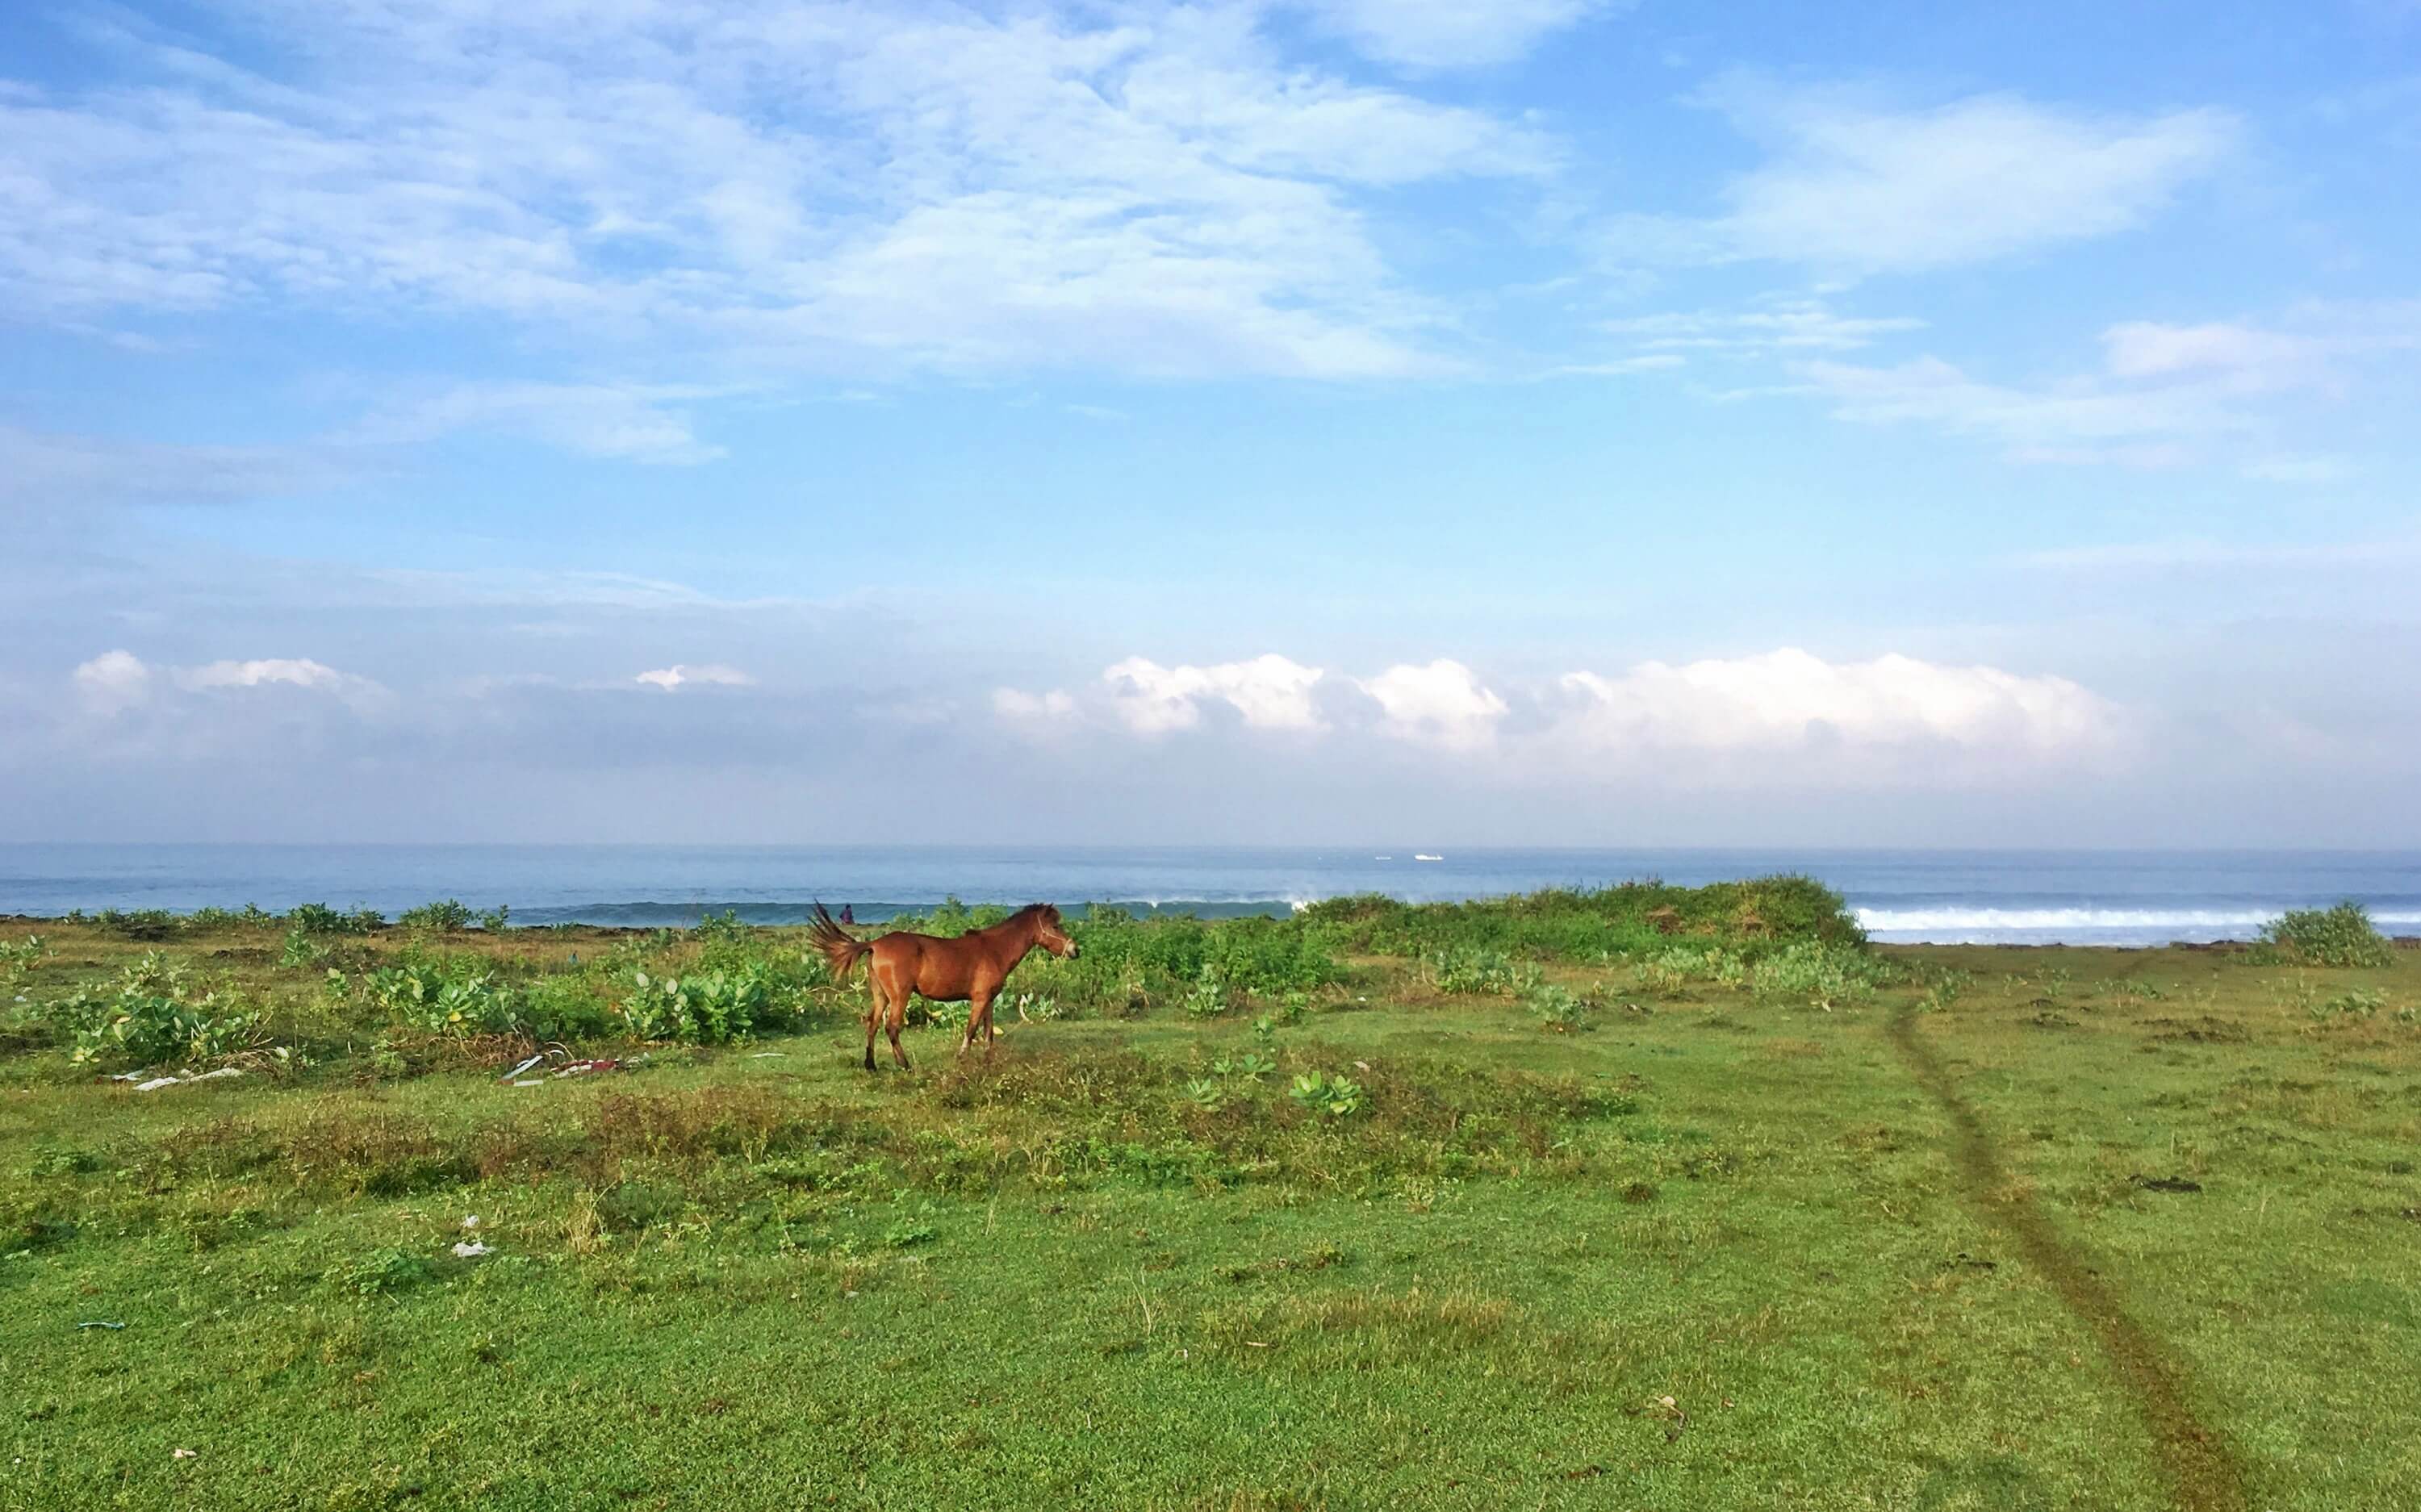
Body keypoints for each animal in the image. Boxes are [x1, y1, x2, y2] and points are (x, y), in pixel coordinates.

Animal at [809, 900, 1075, 1069]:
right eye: (1055, 926)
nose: (1075, 950)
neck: (994, 950)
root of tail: (874, 944)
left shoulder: (989, 1000)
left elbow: (988, 1033)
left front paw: (989, 1061)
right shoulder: (979, 998)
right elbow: (971, 1030)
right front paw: (962, 1059)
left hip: (881, 995)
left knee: (872, 1024)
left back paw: (871, 1065)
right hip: (900, 996)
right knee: (891, 1027)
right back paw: (904, 1065)